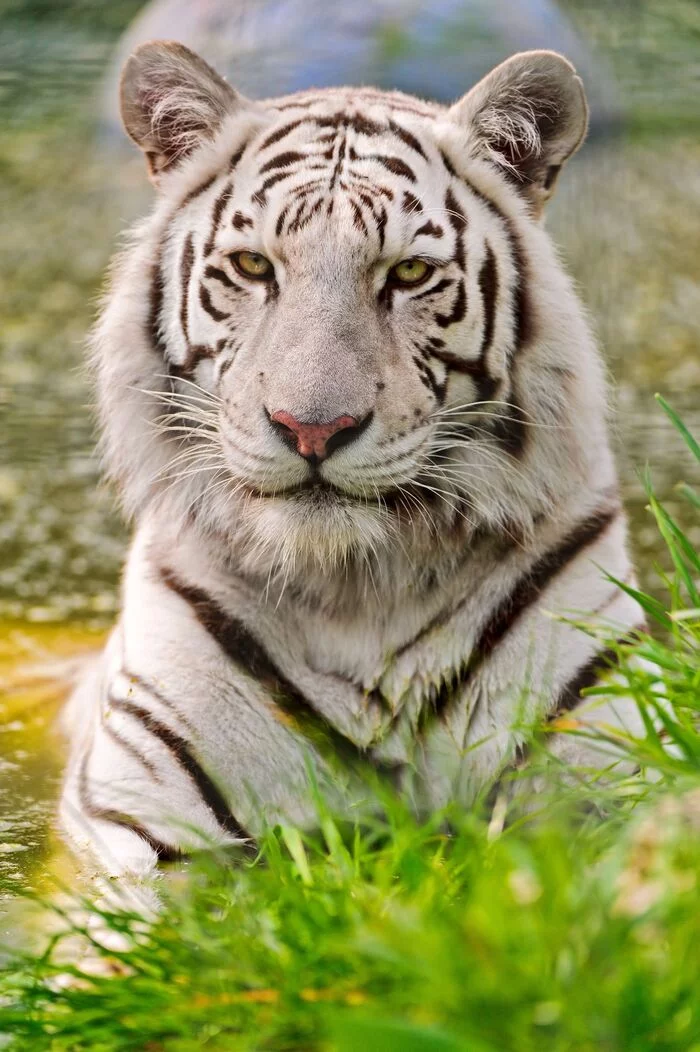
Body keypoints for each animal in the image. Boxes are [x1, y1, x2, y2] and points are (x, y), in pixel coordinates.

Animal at [61, 41, 644, 875]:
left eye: (408, 274)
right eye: (253, 267)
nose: (312, 429)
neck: (359, 589)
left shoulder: (607, 772)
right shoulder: (145, 822)